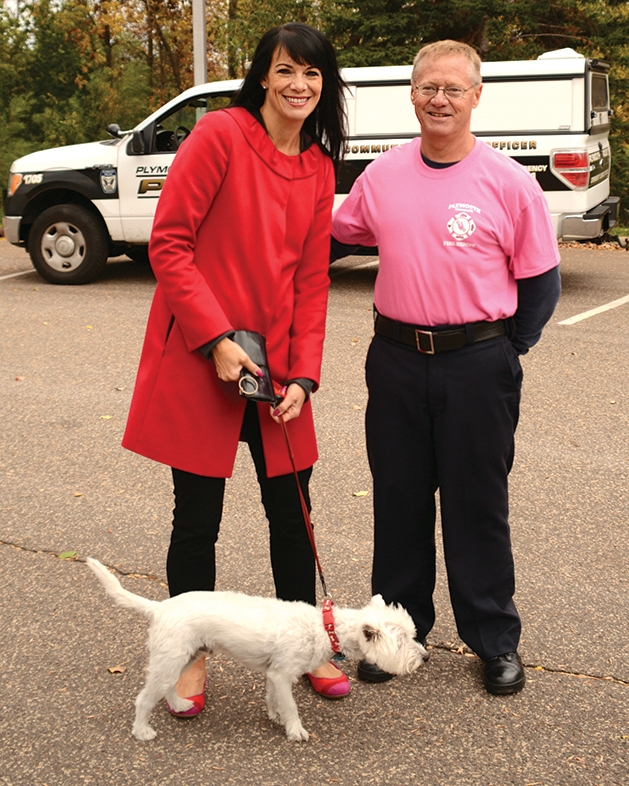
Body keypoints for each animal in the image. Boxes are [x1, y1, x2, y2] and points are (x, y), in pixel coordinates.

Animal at [86, 556, 424, 740]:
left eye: (412, 634)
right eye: (402, 641)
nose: (425, 656)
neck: (325, 628)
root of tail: (159, 607)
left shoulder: (274, 675)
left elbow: (274, 698)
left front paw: (275, 716)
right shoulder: (282, 674)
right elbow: (291, 705)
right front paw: (295, 730)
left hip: (184, 657)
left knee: (169, 687)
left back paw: (181, 704)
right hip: (169, 659)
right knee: (144, 699)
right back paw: (142, 731)